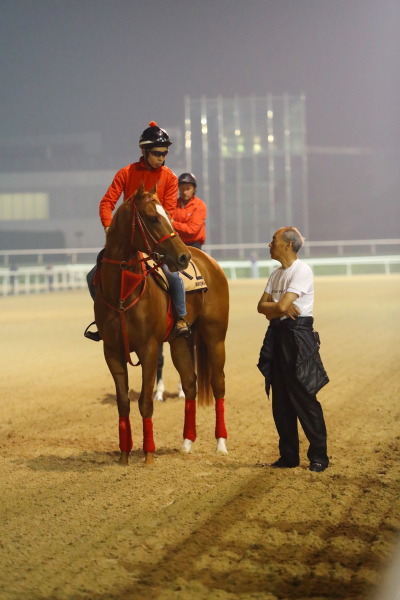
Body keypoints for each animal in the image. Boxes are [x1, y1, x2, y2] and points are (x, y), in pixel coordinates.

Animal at [91, 185, 228, 466]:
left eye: (167, 216)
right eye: (153, 218)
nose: (183, 256)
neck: (124, 292)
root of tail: (211, 264)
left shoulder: (149, 349)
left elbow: (145, 401)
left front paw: (149, 456)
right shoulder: (112, 351)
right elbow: (123, 402)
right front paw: (124, 455)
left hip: (215, 336)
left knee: (218, 384)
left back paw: (221, 444)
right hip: (180, 342)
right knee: (190, 383)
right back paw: (187, 443)